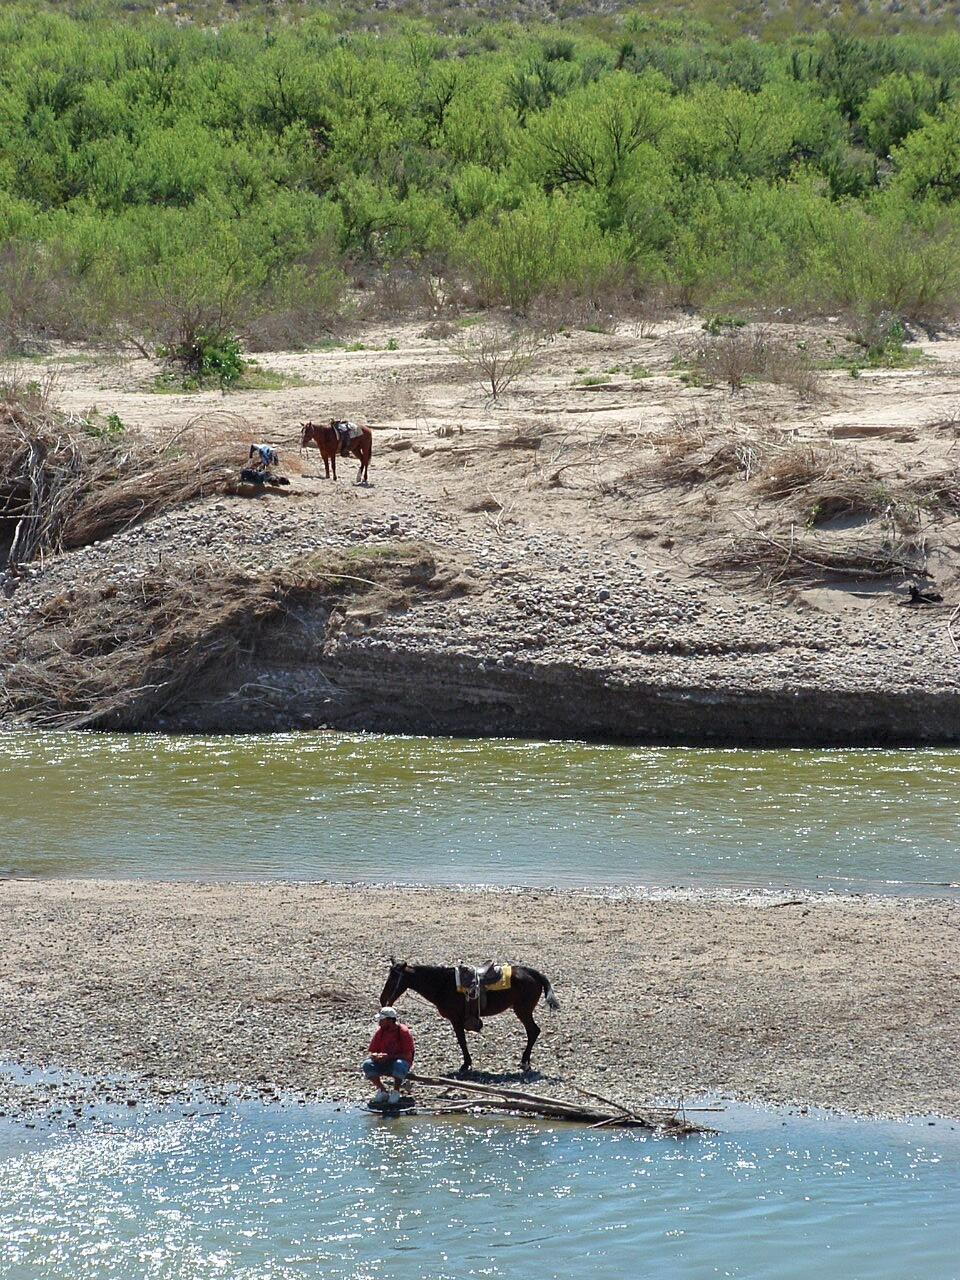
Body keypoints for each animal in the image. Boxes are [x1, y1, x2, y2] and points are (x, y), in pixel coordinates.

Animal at [378, 962, 560, 1070]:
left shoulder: (456, 1020)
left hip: (523, 1010)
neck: (443, 985)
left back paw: (524, 1060)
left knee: (533, 1031)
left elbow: (462, 1041)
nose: (382, 999)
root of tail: (534, 974)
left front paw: (466, 1064)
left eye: (393, 978)